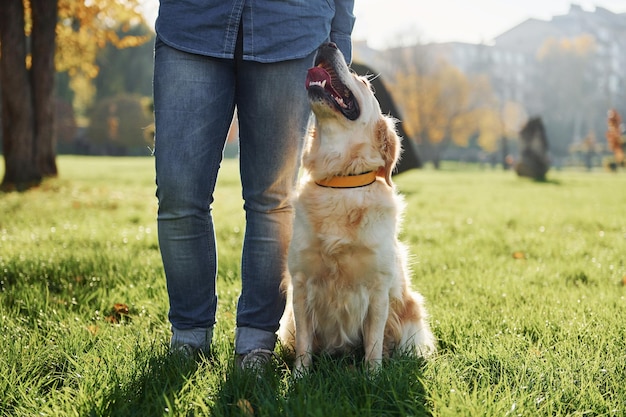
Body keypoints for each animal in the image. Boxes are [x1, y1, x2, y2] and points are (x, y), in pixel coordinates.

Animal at [282, 43, 434, 370]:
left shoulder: (378, 288)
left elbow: (374, 344)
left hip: (411, 312)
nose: (328, 44)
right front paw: (299, 375)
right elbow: (304, 345)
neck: (341, 181)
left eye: (363, 82)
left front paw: (374, 375)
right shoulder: (300, 283)